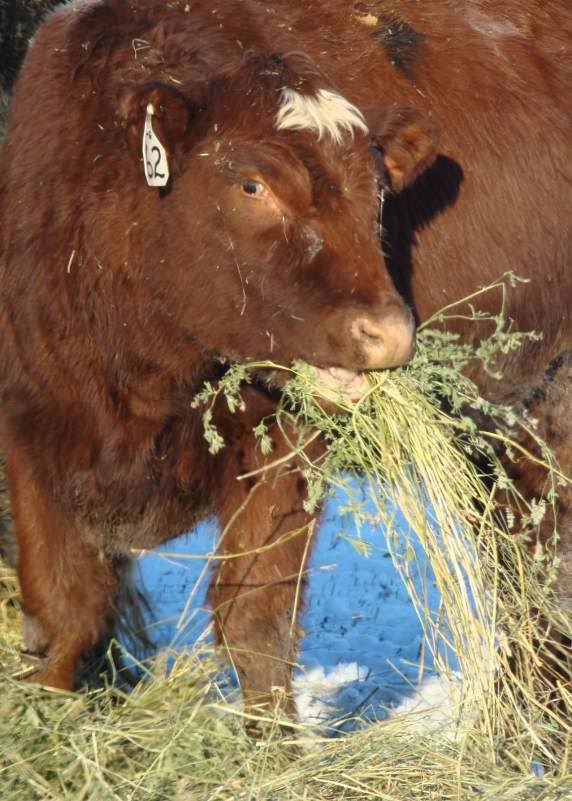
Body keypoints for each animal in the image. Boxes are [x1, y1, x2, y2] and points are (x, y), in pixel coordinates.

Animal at [0, 0, 570, 719]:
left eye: (378, 191)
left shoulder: (283, 441)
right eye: (252, 184)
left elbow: (254, 621)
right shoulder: (29, 426)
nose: (389, 332)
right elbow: (60, 613)